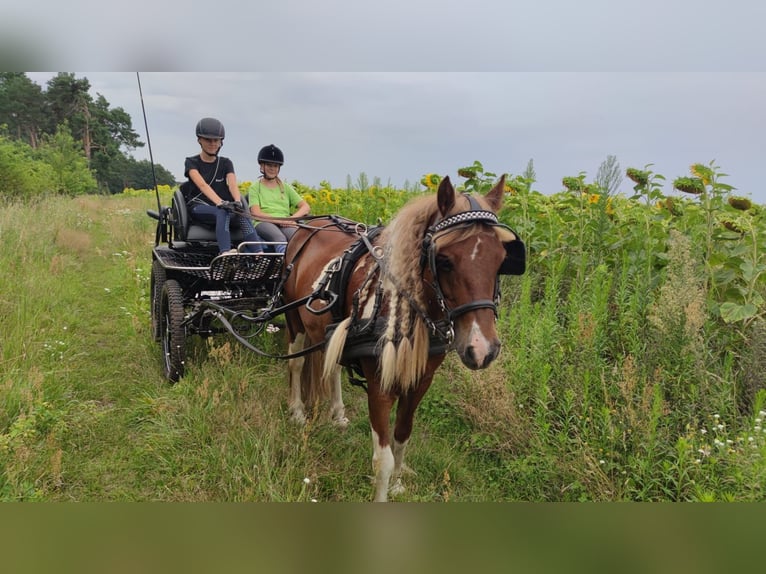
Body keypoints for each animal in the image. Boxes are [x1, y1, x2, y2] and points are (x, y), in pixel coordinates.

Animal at [282, 177, 528, 504]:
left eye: (501, 260)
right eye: (444, 261)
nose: (482, 349)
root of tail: (310, 226)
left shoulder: (420, 380)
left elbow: (402, 436)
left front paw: (398, 484)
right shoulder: (380, 384)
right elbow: (382, 458)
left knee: (331, 368)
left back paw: (338, 414)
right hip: (294, 320)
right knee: (296, 364)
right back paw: (297, 411)